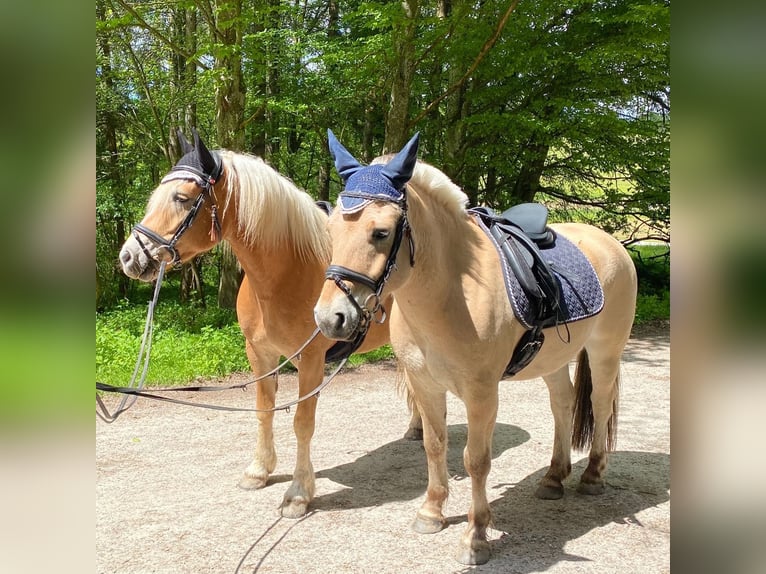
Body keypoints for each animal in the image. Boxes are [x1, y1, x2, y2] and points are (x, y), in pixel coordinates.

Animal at [119, 133, 420, 520]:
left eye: (181, 198)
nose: (129, 256)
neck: (287, 271)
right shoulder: (259, 354)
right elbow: (264, 411)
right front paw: (259, 471)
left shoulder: (311, 360)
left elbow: (302, 423)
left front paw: (298, 494)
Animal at [316, 132, 640, 568]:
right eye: (332, 230)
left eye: (380, 232)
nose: (329, 318)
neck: (451, 294)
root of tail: (611, 244)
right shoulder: (425, 384)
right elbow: (435, 445)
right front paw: (431, 512)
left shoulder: (482, 392)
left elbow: (476, 459)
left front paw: (476, 536)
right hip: (554, 360)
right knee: (564, 403)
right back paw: (554, 477)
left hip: (606, 351)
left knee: (601, 405)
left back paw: (592, 475)